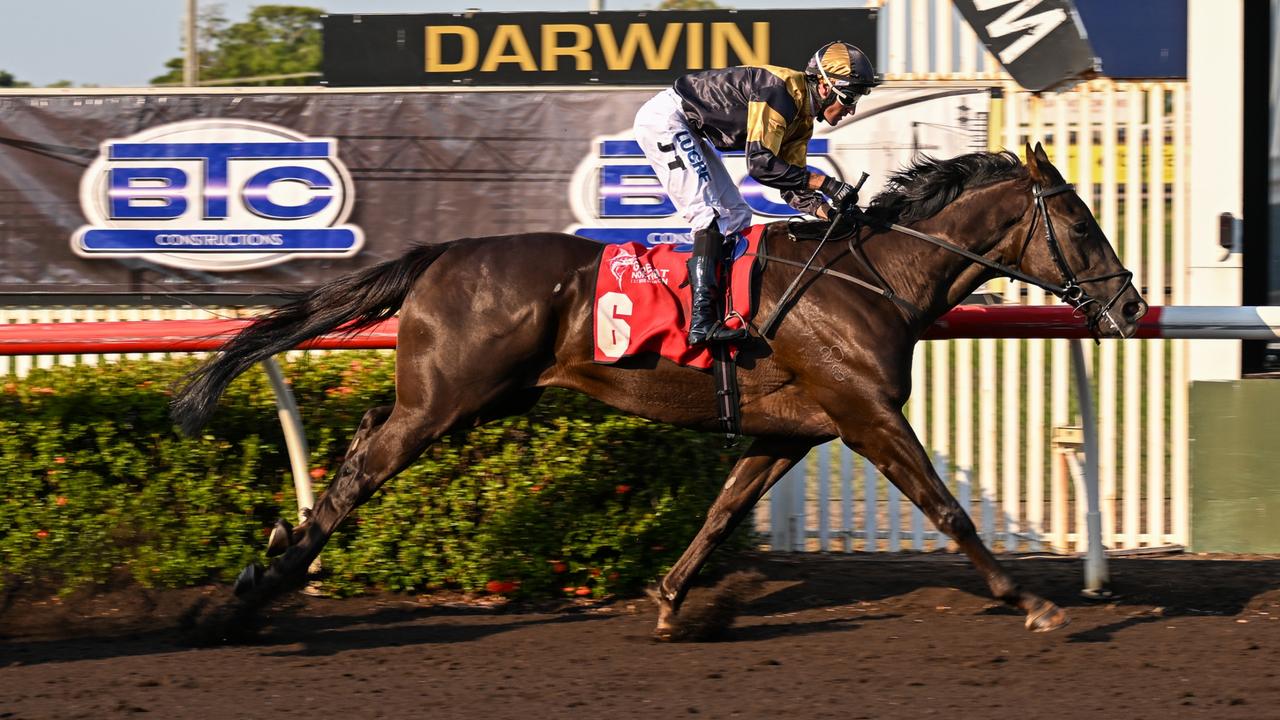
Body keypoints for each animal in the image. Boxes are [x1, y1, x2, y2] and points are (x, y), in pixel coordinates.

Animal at [172, 142, 1152, 635]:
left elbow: (719, 513)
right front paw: (1032, 603)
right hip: (447, 400)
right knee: (364, 468)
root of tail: (441, 252)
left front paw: (674, 602)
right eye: (1078, 221)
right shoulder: (865, 413)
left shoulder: (793, 428)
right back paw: (254, 589)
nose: (1131, 304)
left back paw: (275, 560)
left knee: (367, 431)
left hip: (469, 396)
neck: (872, 276)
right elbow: (947, 509)